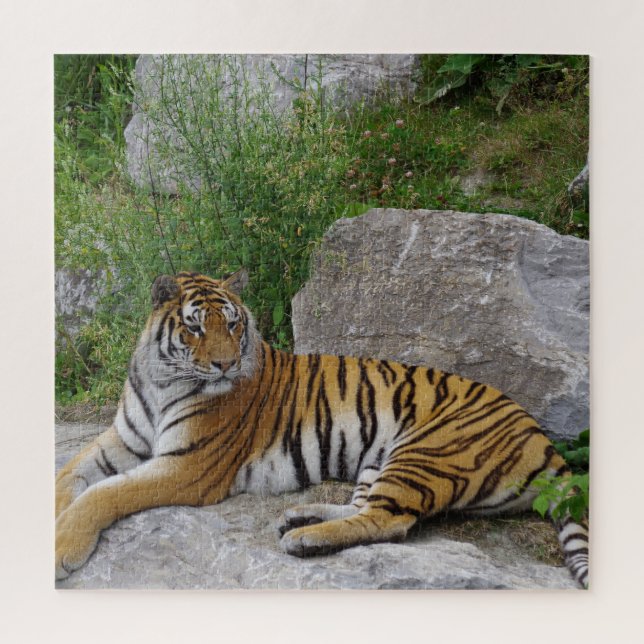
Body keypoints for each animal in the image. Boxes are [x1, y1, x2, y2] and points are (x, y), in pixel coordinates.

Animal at [55, 269, 589, 587]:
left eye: (232, 324)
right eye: (194, 327)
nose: (226, 365)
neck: (161, 381)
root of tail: (541, 436)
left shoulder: (187, 467)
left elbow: (105, 494)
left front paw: (63, 548)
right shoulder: (121, 439)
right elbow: (69, 475)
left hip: (424, 452)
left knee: (390, 521)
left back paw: (304, 539)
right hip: (380, 459)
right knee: (362, 507)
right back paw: (301, 517)